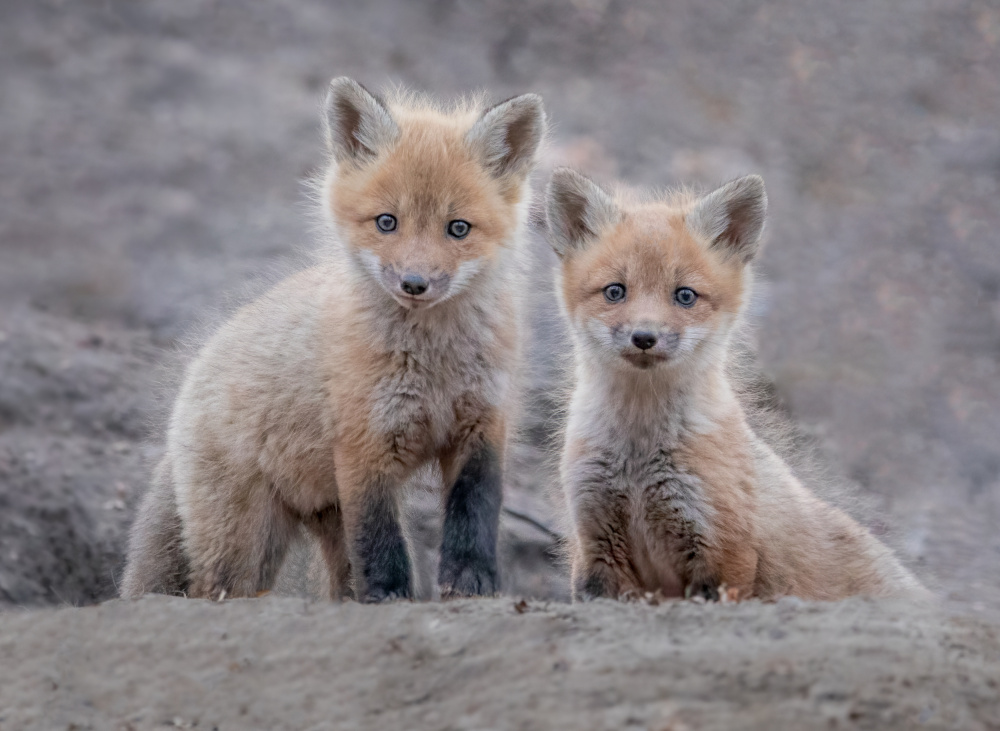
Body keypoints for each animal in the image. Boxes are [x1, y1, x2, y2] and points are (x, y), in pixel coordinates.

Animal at [120, 78, 546, 602]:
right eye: (387, 222)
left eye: (458, 228)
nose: (414, 283)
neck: (434, 363)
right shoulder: (363, 443)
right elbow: (381, 541)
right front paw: (390, 595)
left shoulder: (483, 425)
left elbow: (476, 514)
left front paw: (473, 582)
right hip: (244, 543)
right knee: (219, 588)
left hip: (323, 516)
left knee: (339, 578)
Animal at [545, 167, 929, 602]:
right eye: (615, 291)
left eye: (685, 296)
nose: (644, 337)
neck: (638, 456)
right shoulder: (595, 544)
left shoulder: (722, 553)